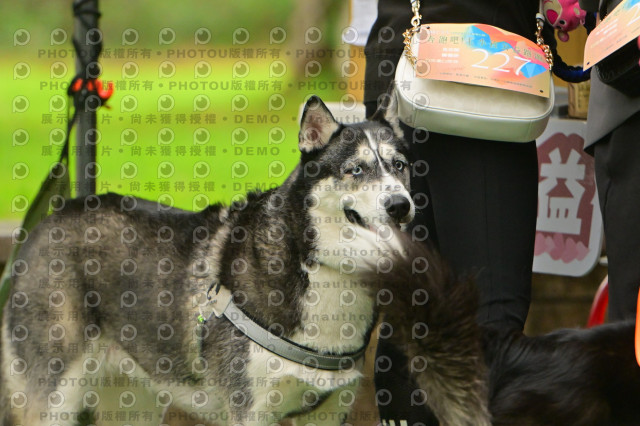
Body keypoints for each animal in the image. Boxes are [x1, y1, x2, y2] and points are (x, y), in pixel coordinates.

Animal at [1, 94, 491, 425]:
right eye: (356, 170)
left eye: (399, 166)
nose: (399, 206)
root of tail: (52, 216)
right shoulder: (249, 410)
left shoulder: (330, 409)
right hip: (54, 398)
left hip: (133, 401)